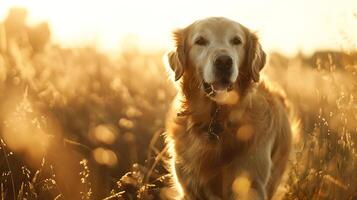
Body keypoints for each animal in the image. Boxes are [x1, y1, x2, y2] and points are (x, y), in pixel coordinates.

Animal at [164, 17, 294, 200]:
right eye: (200, 41)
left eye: (236, 41)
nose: (224, 62)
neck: (216, 121)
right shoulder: (189, 188)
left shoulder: (251, 186)